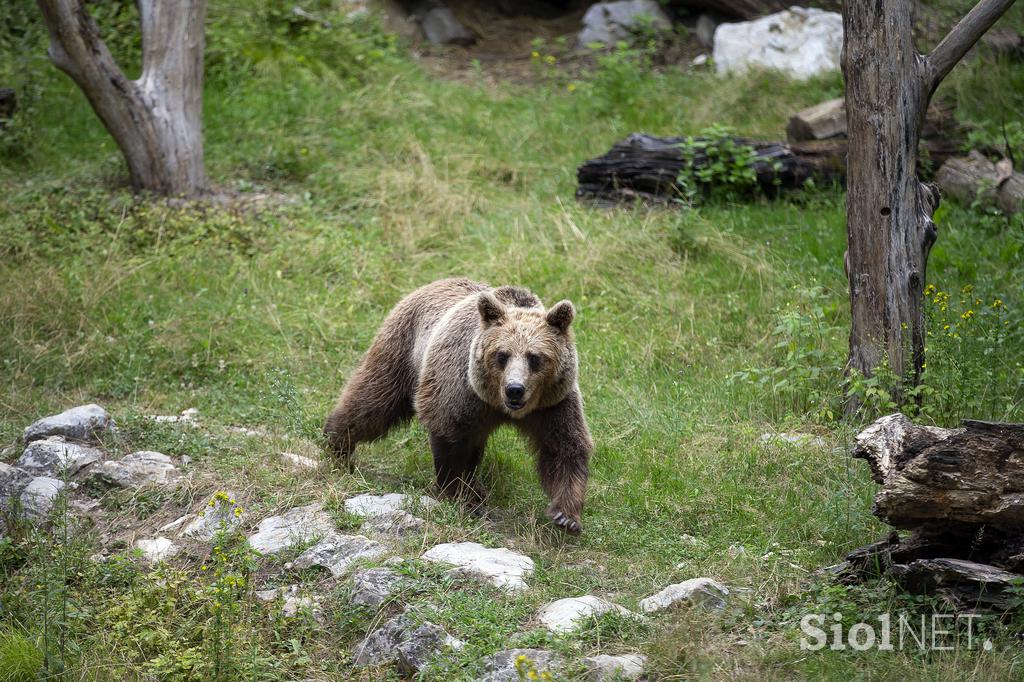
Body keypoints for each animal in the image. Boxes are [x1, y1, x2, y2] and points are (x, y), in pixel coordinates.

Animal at [319, 276, 593, 532]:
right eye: (502, 355)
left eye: (535, 357)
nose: (515, 389)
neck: (496, 404)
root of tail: (430, 284)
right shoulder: (460, 392)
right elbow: (449, 437)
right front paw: (458, 494)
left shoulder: (552, 403)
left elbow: (564, 448)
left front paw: (566, 516)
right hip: (401, 349)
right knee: (372, 402)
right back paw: (336, 445)